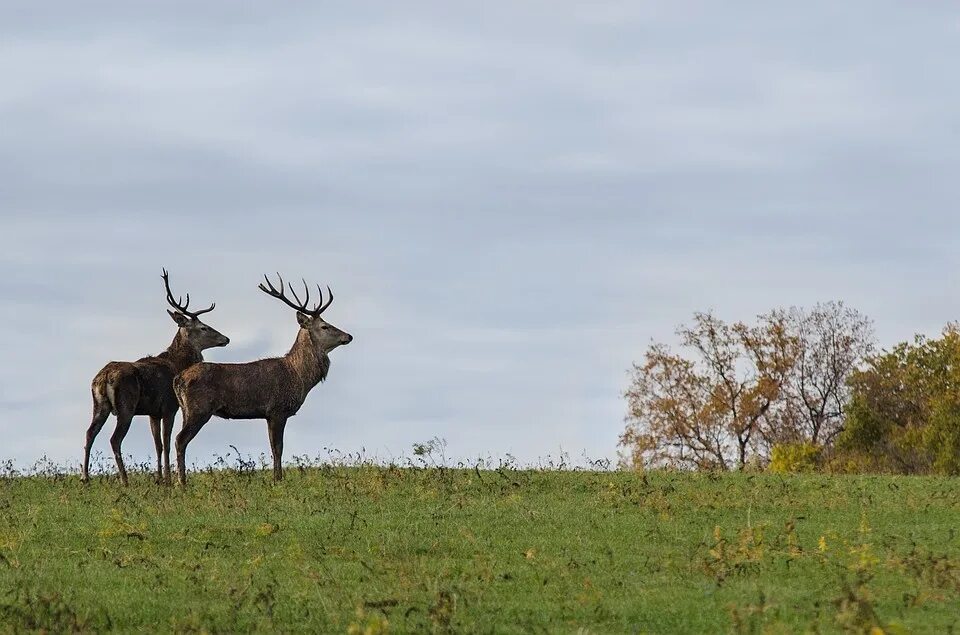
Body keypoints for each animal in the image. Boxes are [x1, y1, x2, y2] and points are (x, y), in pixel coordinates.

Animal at [83, 270, 230, 486]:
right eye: (204, 327)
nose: (226, 339)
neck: (177, 363)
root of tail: (103, 377)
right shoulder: (170, 407)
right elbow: (167, 442)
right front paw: (168, 479)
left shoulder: (153, 412)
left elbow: (157, 444)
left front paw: (160, 479)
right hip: (126, 406)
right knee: (115, 439)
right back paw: (124, 480)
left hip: (99, 404)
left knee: (90, 433)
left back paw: (85, 478)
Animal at [172, 274, 352, 486]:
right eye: (325, 326)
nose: (348, 336)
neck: (298, 377)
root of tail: (178, 378)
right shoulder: (277, 409)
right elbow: (278, 448)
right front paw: (278, 481)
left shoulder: (267, 414)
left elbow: (273, 447)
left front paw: (276, 479)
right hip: (199, 409)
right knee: (180, 439)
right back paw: (181, 483)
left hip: (185, 410)